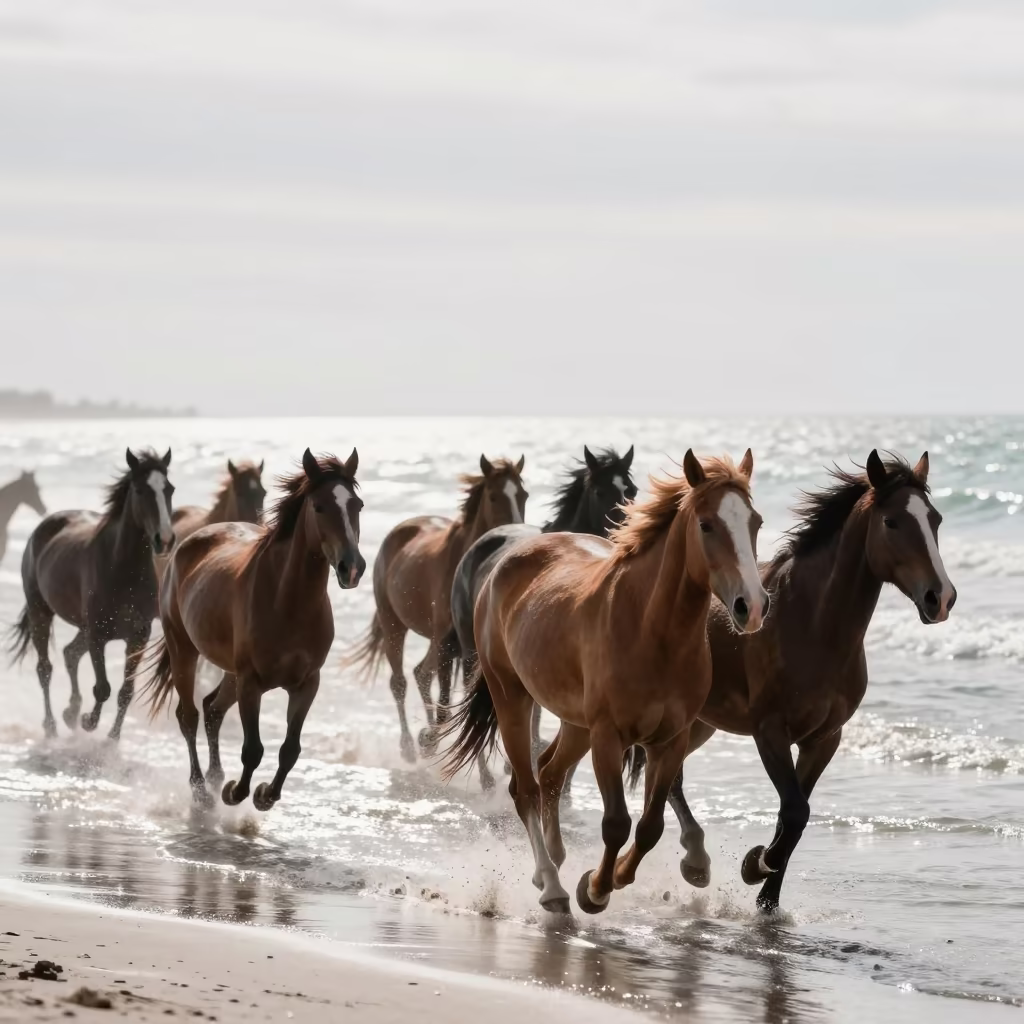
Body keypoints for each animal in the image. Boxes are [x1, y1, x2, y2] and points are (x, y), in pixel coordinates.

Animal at [8, 449, 175, 739]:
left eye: (170, 489)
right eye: (140, 490)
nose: (164, 540)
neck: (124, 571)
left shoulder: (138, 636)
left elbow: (125, 691)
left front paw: (111, 738)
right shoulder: (98, 634)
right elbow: (103, 688)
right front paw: (87, 721)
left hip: (83, 626)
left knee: (70, 654)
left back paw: (70, 712)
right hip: (41, 611)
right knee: (45, 668)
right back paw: (52, 726)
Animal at [140, 449, 365, 809]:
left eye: (357, 505)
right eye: (319, 507)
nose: (352, 568)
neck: (288, 603)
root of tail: (185, 544)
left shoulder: (307, 684)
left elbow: (290, 750)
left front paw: (264, 795)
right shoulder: (250, 683)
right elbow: (253, 749)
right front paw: (236, 792)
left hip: (229, 671)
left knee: (212, 710)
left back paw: (216, 777)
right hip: (184, 651)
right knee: (189, 716)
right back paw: (203, 791)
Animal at [344, 454, 528, 763]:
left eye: (524, 495)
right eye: (493, 496)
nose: (516, 534)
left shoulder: (453, 644)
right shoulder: (447, 642)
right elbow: (444, 698)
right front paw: (427, 741)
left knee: (421, 674)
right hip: (394, 624)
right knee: (400, 682)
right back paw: (408, 747)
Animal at [624, 450, 957, 913]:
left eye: (935, 519)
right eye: (892, 522)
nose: (940, 598)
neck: (813, 625)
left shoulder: (824, 739)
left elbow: (794, 813)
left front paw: (768, 897)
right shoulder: (770, 731)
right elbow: (795, 810)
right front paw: (755, 866)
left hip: (701, 724)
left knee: (669, 779)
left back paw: (695, 862)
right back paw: (693, 862)